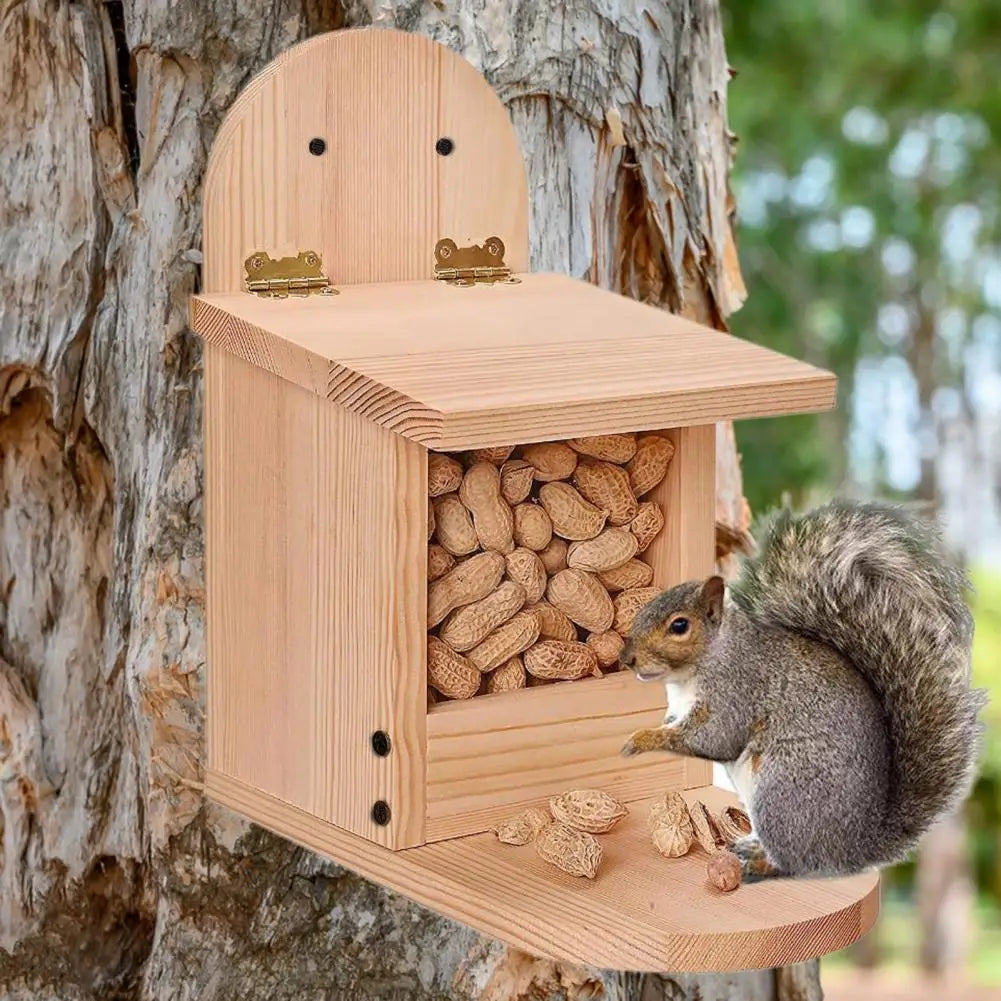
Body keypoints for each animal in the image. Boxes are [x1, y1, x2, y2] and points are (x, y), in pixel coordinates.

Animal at [620, 499, 987, 881]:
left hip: (783, 790)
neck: (699, 665)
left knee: (795, 863)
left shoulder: (736, 690)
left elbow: (714, 739)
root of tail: (855, 849)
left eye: (679, 626)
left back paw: (758, 863)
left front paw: (641, 739)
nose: (626, 658)